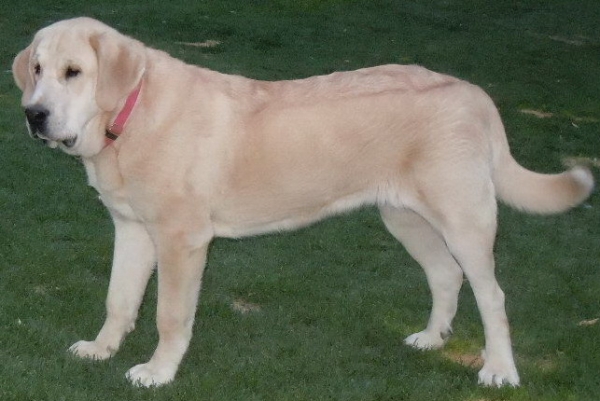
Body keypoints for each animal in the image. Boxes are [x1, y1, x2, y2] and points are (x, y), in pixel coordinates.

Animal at [11, 17, 592, 386]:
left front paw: (157, 372)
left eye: (74, 72)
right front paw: (101, 350)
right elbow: (119, 300)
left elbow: (169, 316)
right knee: (445, 276)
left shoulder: (182, 241)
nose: (33, 115)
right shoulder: (132, 230)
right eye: (37, 69)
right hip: (404, 217)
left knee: (492, 297)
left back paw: (500, 370)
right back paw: (432, 338)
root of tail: (472, 92)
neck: (129, 114)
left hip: (464, 220)